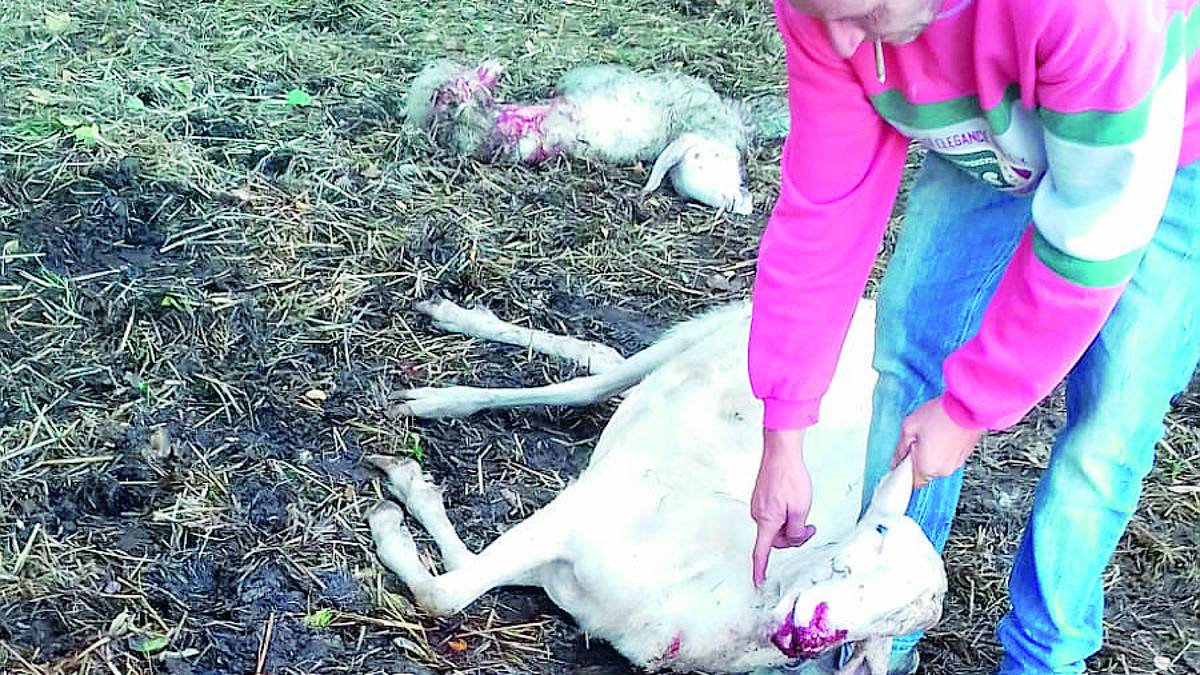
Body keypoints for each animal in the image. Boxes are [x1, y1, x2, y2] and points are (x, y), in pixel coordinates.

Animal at [368, 297, 947, 674]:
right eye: (876, 531)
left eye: (896, 621)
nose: (811, 633)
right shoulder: (582, 513)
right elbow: (444, 594)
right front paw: (397, 500)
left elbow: (453, 577)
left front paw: (405, 495)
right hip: (729, 324)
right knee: (600, 378)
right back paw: (438, 373)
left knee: (608, 364)